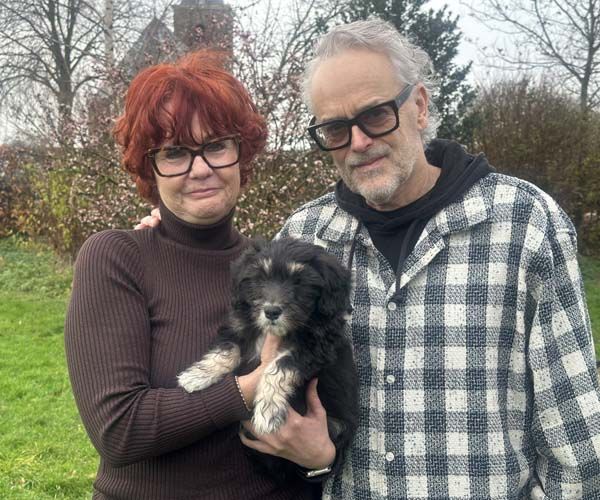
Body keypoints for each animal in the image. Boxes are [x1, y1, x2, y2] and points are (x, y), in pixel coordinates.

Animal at [178, 237, 358, 480]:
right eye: (261, 278)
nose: (271, 311)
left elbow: (280, 366)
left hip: (335, 426)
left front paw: (268, 410)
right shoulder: (240, 326)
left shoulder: (315, 348)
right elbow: (227, 349)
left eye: (299, 282)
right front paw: (197, 375)